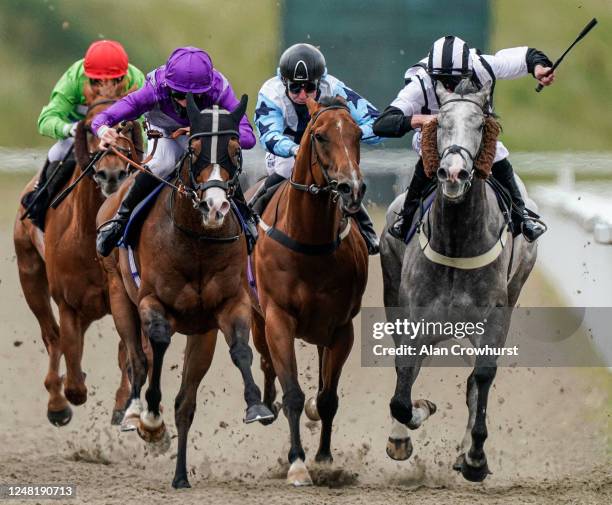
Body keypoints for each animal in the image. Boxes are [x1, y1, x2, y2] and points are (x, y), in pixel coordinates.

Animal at [14, 81, 145, 426]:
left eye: (128, 125)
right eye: (89, 127)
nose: (111, 174)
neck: (89, 237)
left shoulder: (124, 294)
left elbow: (128, 352)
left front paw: (123, 404)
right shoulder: (68, 302)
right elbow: (70, 354)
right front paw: (71, 393)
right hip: (30, 272)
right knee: (52, 335)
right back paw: (57, 403)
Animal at [96, 94, 272, 488]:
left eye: (235, 150)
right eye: (193, 150)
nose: (215, 206)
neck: (197, 242)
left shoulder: (229, 305)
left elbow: (240, 350)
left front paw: (256, 405)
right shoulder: (152, 301)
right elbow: (157, 345)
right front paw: (150, 419)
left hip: (201, 333)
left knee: (185, 401)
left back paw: (180, 476)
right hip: (119, 296)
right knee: (137, 358)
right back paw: (135, 413)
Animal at [245, 96, 368, 486]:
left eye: (358, 134)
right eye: (320, 136)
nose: (351, 188)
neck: (309, 242)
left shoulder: (342, 327)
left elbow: (327, 398)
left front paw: (324, 459)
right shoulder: (278, 319)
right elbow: (293, 393)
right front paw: (297, 463)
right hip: (256, 315)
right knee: (265, 361)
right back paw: (265, 405)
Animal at [380, 80, 536, 482]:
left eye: (480, 125)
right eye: (441, 123)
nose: (453, 173)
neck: (456, 241)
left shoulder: (494, 316)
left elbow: (481, 377)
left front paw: (475, 458)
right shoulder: (414, 316)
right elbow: (403, 389)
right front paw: (411, 422)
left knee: (475, 382)